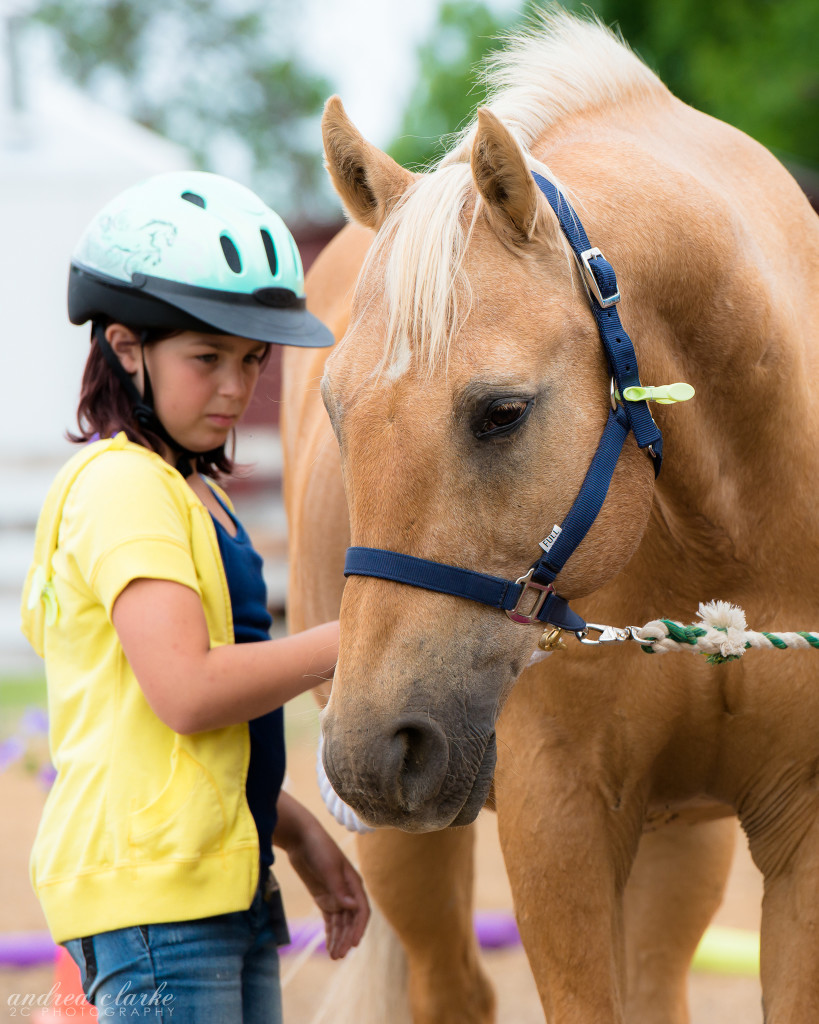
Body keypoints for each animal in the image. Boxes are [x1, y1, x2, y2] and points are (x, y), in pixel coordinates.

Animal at [282, 9, 818, 1024]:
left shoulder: (801, 827)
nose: (370, 751)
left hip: (678, 840)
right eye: (334, 410)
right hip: (403, 839)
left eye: (501, 412)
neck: (727, 539)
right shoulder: (556, 820)